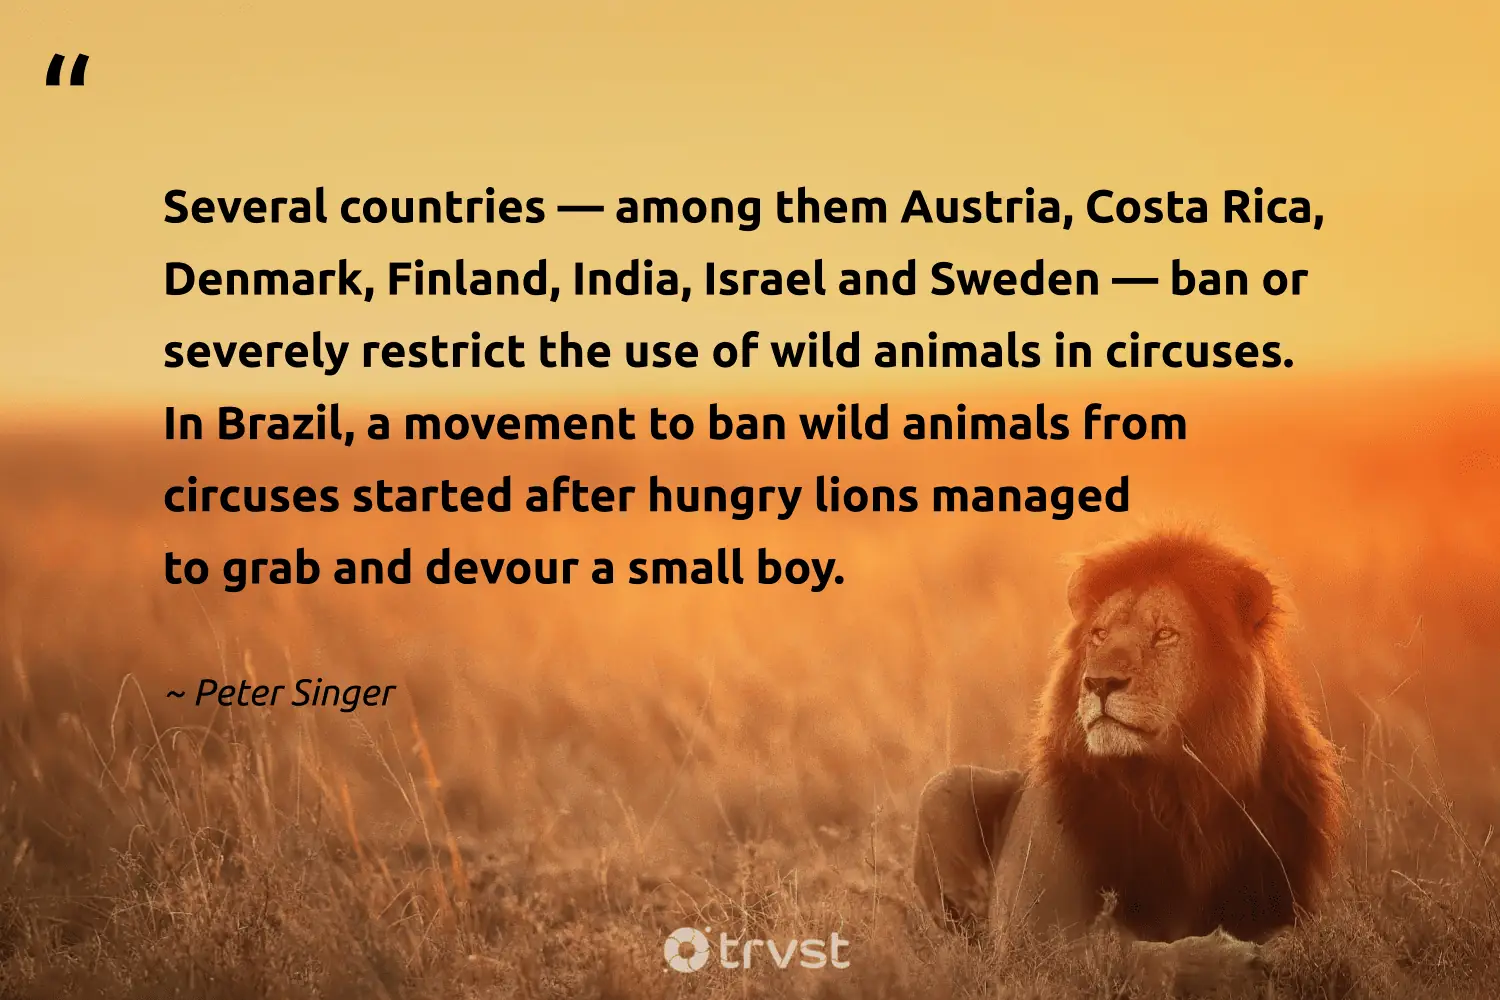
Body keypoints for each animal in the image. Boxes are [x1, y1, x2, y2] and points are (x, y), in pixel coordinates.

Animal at [913, 529, 1344, 993]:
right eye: (1100, 634)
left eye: (1165, 634)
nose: (1100, 682)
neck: (1175, 792)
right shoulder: (1032, 934)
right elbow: (1121, 955)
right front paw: (1229, 963)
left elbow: (1305, 940)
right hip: (943, 789)